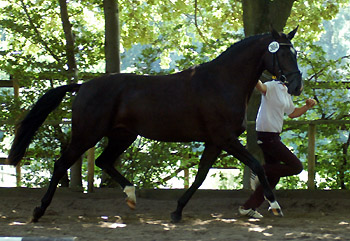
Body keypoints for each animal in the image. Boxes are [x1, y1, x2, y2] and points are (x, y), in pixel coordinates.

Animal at [8, 26, 304, 222]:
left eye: (296, 53)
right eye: (284, 54)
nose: (297, 86)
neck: (221, 83)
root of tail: (83, 86)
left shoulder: (215, 142)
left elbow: (200, 176)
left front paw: (177, 211)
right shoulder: (226, 139)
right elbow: (256, 165)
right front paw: (275, 205)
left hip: (122, 135)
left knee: (104, 161)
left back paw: (131, 196)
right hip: (87, 134)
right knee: (61, 165)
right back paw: (39, 211)